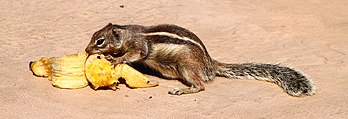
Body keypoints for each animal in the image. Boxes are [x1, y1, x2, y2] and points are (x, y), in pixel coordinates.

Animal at [84, 23, 316, 96]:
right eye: (93, 35)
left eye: (100, 41)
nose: (87, 50)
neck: (127, 33)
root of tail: (209, 63)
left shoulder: (140, 45)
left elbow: (136, 54)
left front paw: (115, 59)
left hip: (187, 67)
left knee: (200, 86)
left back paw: (181, 90)